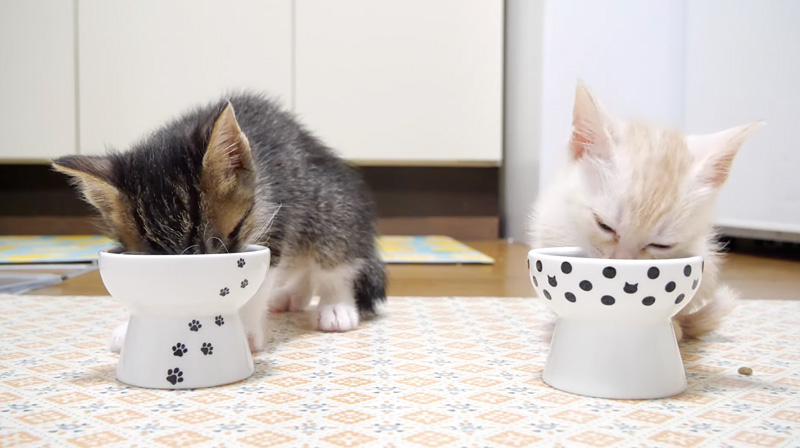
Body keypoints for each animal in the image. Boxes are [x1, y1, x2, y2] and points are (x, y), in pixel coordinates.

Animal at [53, 93, 388, 350]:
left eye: (229, 235)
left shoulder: (275, 220)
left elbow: (257, 283)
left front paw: (244, 328)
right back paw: (292, 296)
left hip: (329, 204)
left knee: (334, 259)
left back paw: (336, 306)